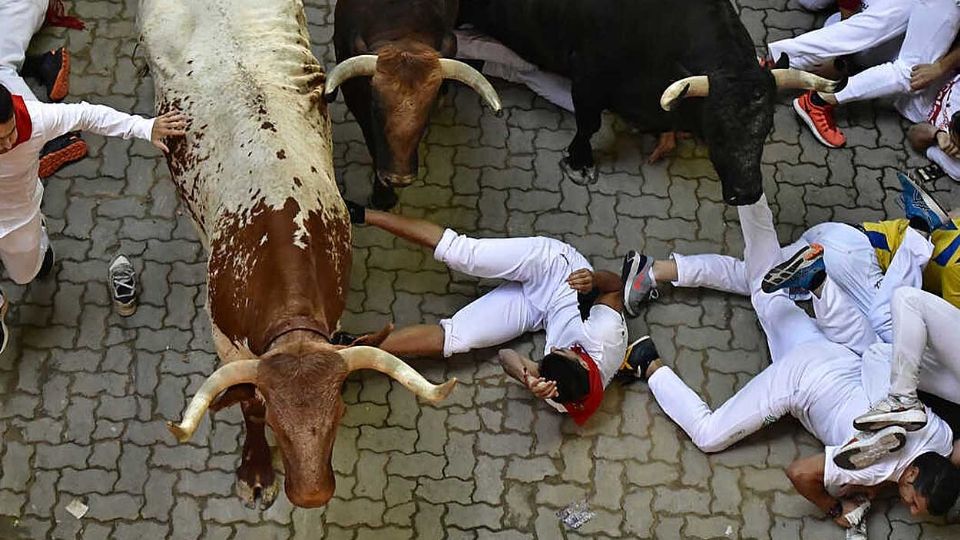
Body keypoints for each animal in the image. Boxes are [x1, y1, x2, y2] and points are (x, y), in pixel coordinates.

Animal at [137, 0, 460, 506]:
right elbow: (246, 399)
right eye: (274, 419)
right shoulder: (225, 340)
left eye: (340, 413)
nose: (312, 495)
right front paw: (255, 470)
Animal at [458, 0, 840, 206]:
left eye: (766, 129)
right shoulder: (587, 74)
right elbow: (588, 123)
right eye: (716, 131)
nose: (746, 192)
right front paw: (580, 161)